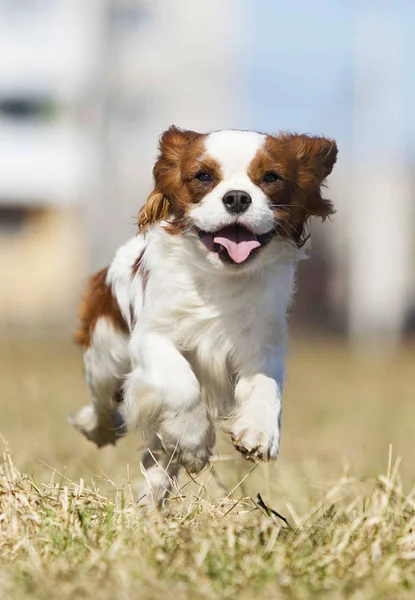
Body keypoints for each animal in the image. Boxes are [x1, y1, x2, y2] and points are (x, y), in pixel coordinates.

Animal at [71, 126, 338, 506]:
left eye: (271, 178)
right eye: (204, 177)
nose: (238, 198)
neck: (220, 278)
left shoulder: (262, 344)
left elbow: (266, 386)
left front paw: (259, 431)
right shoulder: (152, 337)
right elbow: (181, 383)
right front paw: (194, 442)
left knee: (157, 456)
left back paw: (151, 499)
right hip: (105, 355)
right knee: (103, 401)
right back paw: (100, 428)